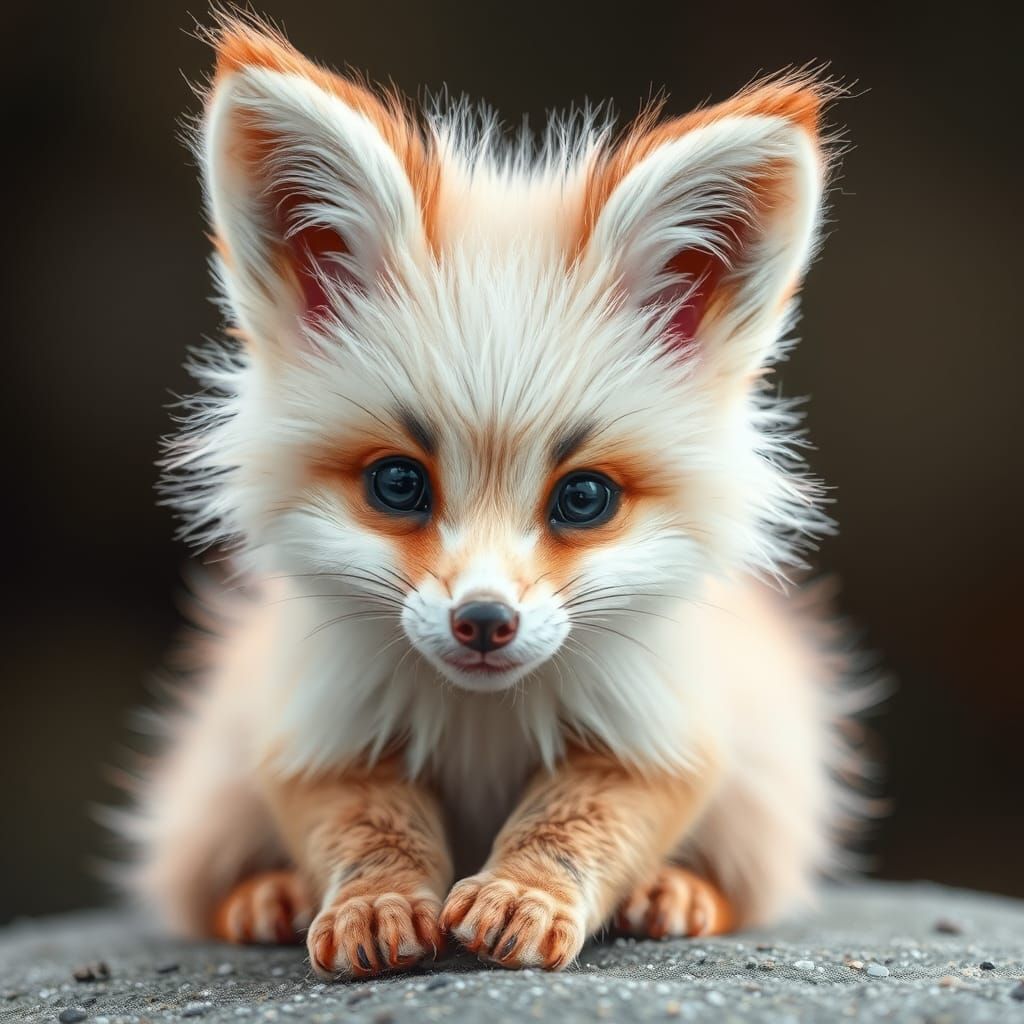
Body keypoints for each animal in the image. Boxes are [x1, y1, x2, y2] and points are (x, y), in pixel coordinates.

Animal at [116, 13, 875, 980]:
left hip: (766, 797)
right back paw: (269, 897)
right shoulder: (316, 729)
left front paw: (524, 897)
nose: (483, 623)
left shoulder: (658, 733)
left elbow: (573, 823)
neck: (483, 727)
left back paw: (676, 894)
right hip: (211, 793)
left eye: (584, 499)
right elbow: (370, 830)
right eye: (399, 483)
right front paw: (375, 906)